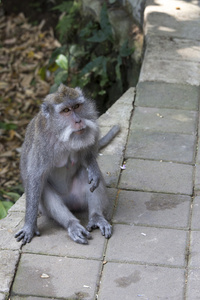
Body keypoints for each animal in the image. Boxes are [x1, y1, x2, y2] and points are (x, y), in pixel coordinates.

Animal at [14, 83, 120, 245]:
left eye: (76, 106)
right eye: (66, 110)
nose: (78, 121)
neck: (62, 136)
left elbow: (87, 156)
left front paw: (93, 167)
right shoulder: (41, 144)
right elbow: (35, 177)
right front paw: (29, 226)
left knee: (86, 175)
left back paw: (96, 217)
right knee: (44, 188)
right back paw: (72, 224)